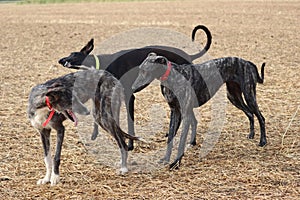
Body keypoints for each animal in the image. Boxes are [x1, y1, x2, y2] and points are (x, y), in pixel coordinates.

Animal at [58, 25, 212, 151]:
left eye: (74, 55)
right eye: (70, 53)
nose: (61, 60)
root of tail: (188, 56)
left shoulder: (129, 97)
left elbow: (130, 123)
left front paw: (130, 145)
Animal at [132, 52, 266, 170]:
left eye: (145, 71)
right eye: (140, 69)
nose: (132, 88)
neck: (172, 76)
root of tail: (247, 62)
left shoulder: (185, 114)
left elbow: (181, 142)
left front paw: (176, 163)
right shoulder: (175, 112)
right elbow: (170, 137)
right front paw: (166, 159)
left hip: (249, 95)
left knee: (261, 117)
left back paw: (263, 141)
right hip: (233, 96)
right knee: (250, 113)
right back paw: (251, 135)